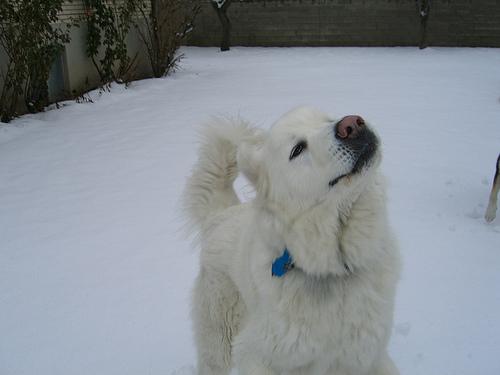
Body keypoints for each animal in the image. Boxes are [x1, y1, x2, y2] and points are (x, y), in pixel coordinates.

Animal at [184, 107, 398, 374]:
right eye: (297, 149)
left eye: (327, 119)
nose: (352, 124)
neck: (334, 267)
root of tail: (220, 214)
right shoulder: (253, 354)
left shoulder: (368, 357)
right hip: (218, 341)